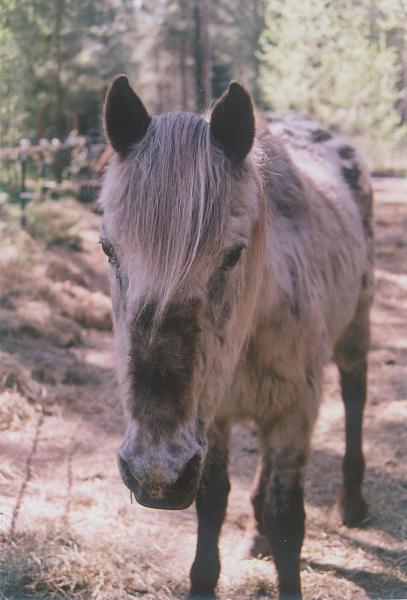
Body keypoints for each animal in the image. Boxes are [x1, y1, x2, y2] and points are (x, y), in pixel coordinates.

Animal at [97, 76, 374, 600]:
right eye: (108, 250)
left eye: (232, 254)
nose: (154, 475)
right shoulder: (212, 418)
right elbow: (212, 505)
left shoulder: (295, 412)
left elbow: (289, 521)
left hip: (357, 323)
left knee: (355, 397)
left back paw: (351, 502)